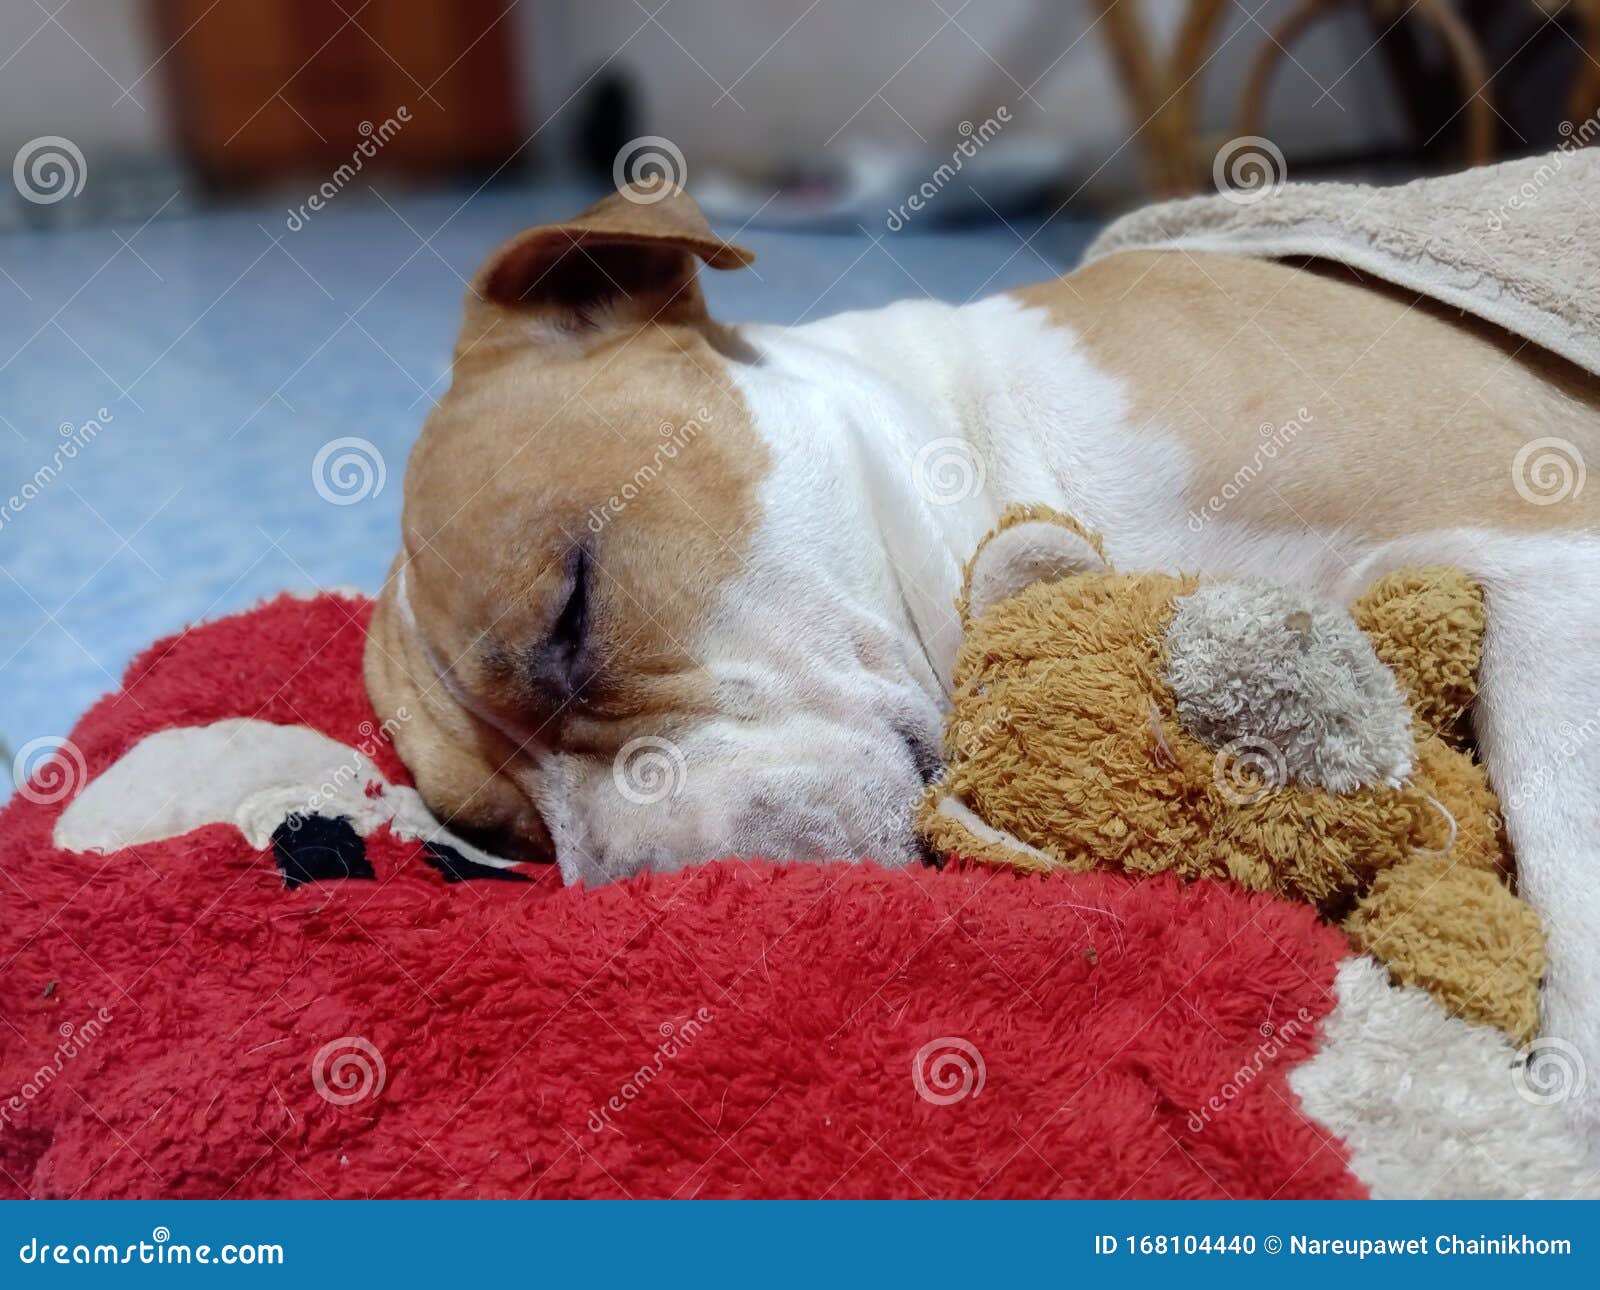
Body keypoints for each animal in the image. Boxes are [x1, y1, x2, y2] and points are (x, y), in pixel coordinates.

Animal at [368, 181, 1600, 1133]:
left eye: (573, 608)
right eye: (500, 835)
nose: (651, 913)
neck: (986, 443)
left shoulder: (1544, 550)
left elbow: (1570, 861)